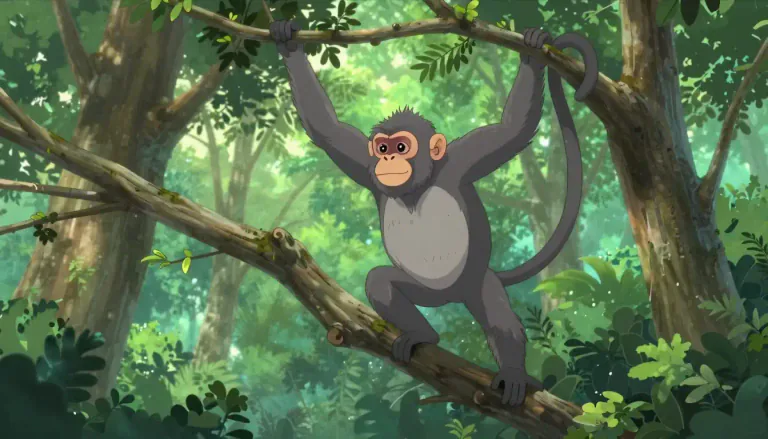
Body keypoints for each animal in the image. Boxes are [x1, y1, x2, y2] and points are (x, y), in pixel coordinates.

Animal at [270, 20, 598, 406]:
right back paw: (423, 335)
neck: (418, 184)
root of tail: (451, 296)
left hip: (475, 281)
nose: (388, 159)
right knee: (381, 281)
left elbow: (513, 129)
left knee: (499, 316)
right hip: (427, 290)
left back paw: (513, 374)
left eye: (401, 147)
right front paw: (287, 41)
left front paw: (532, 52)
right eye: (381, 148)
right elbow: (326, 128)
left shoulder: (463, 157)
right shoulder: (364, 165)